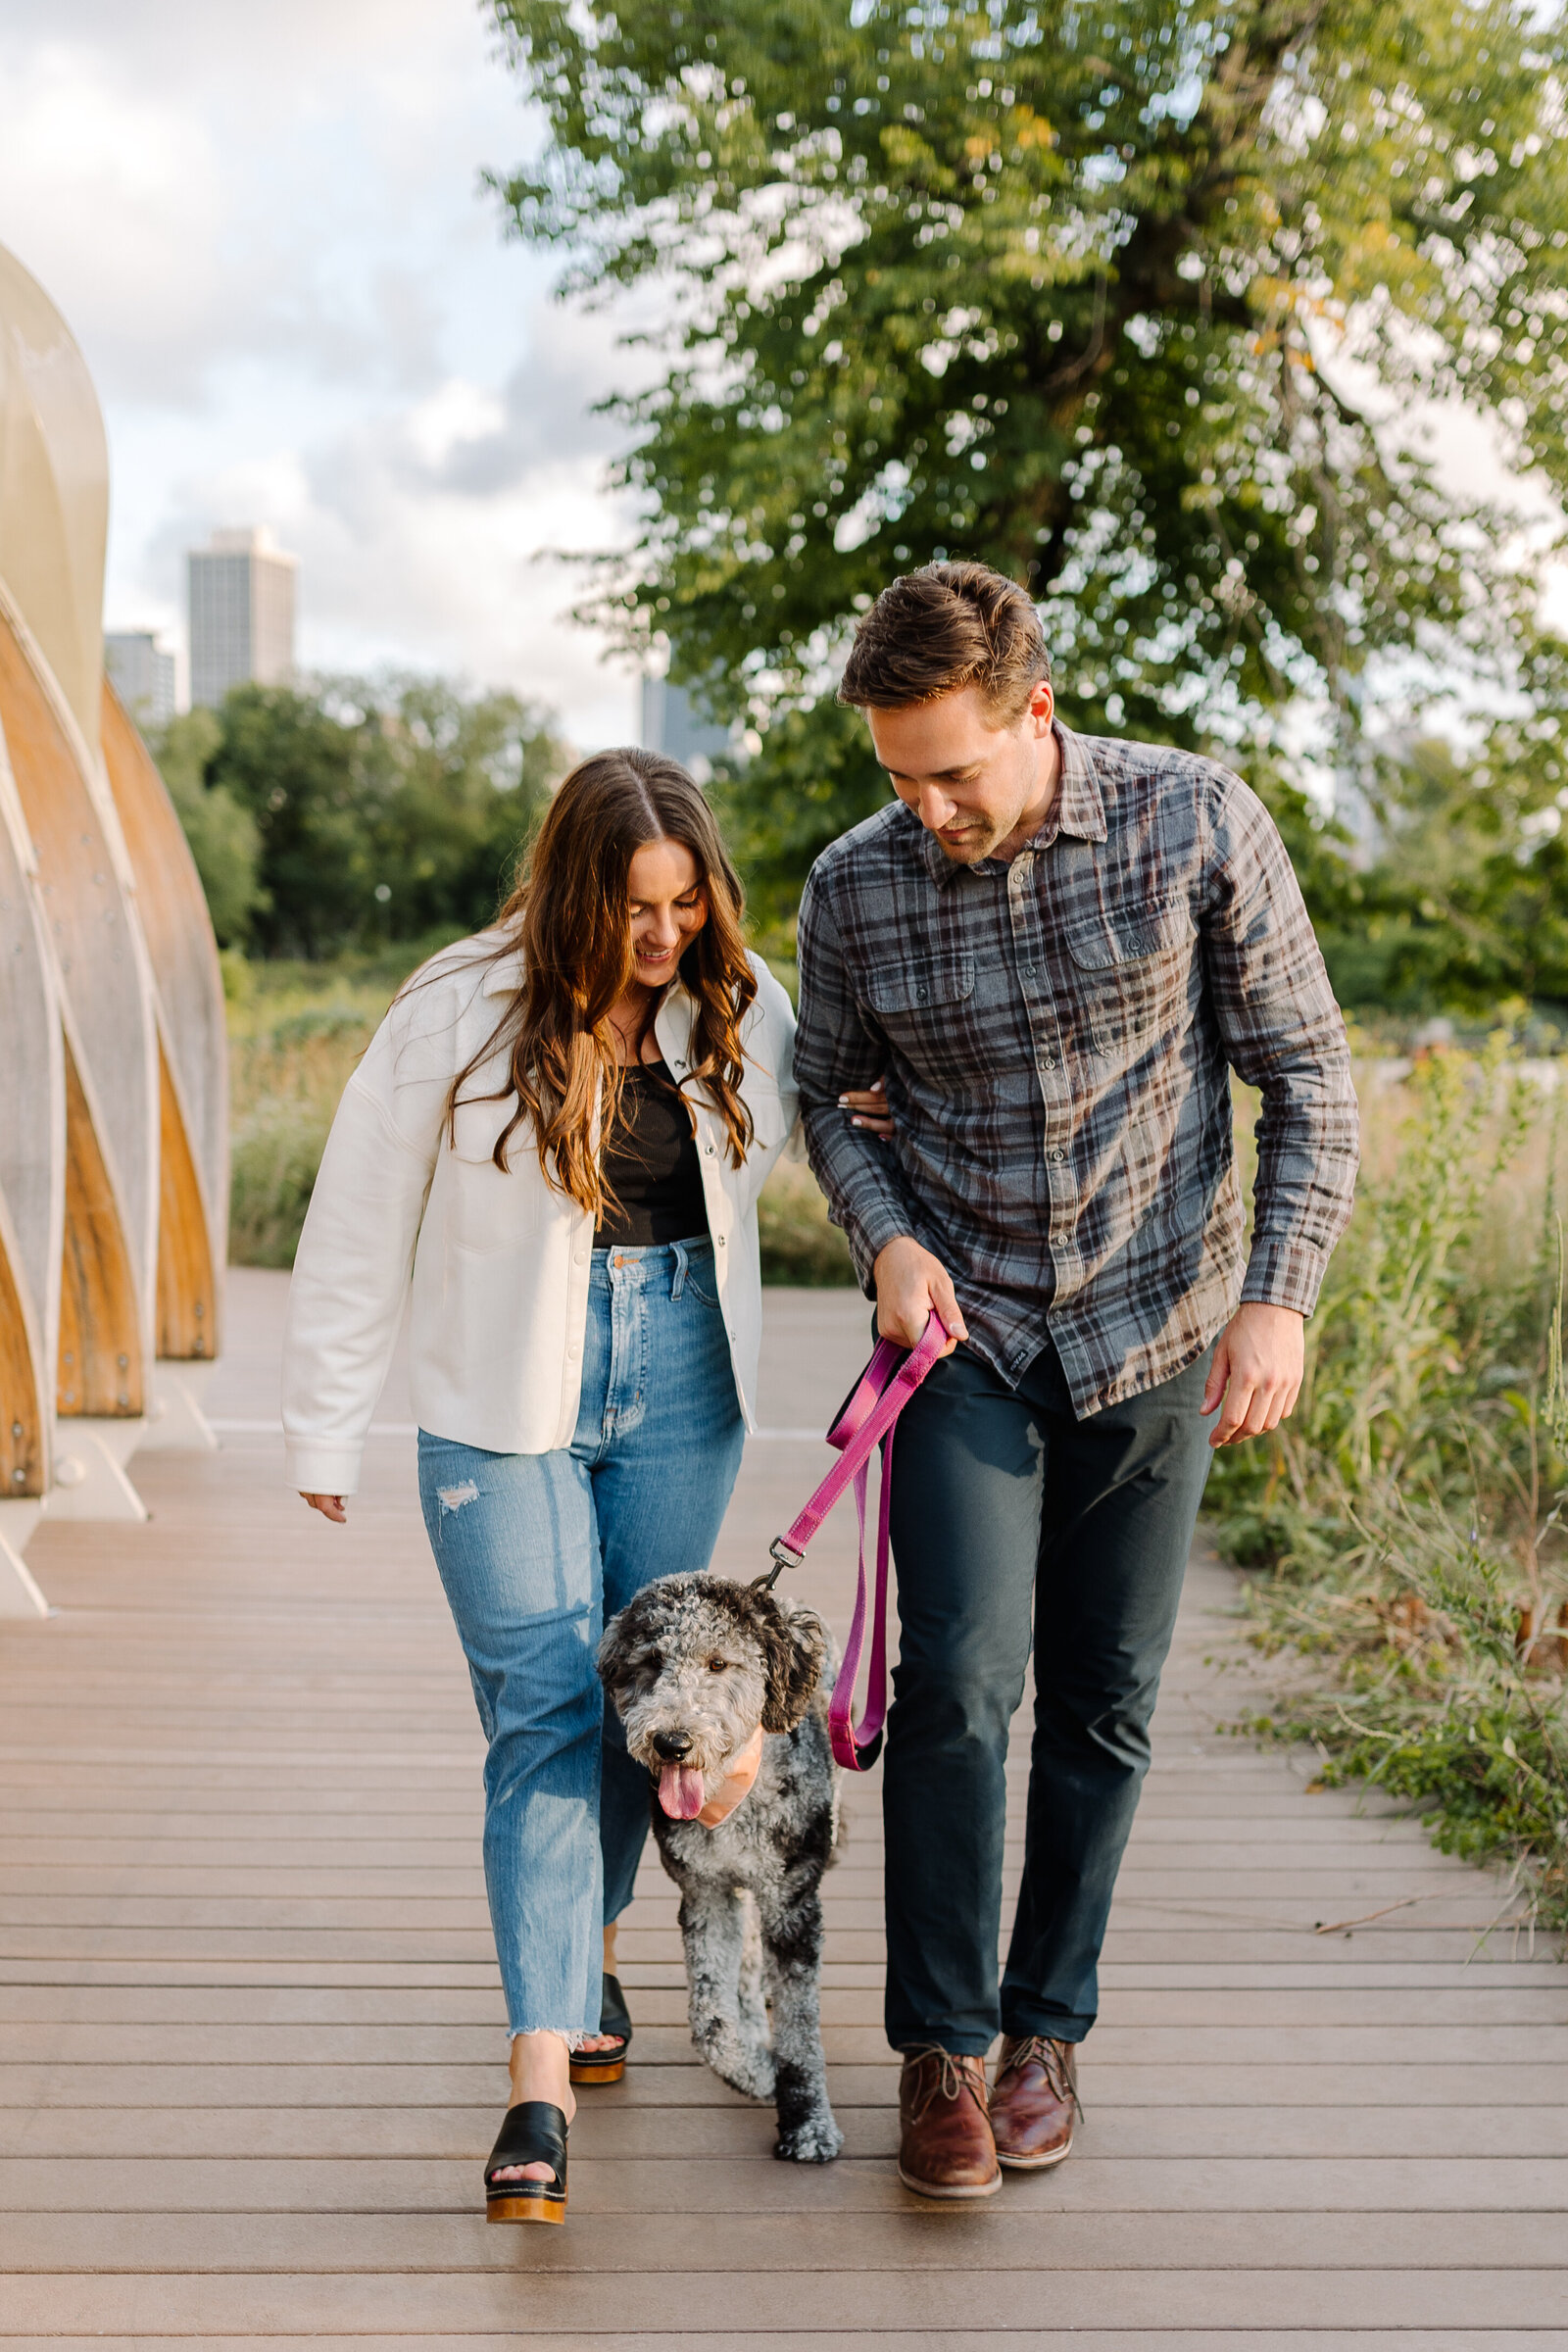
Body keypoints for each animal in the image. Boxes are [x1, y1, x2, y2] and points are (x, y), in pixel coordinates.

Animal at [597, 1571, 846, 2154]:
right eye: (651, 1661)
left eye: (718, 1663)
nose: (672, 1742)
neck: (736, 1792)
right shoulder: (705, 1893)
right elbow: (710, 2020)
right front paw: (757, 2072)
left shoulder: (793, 1902)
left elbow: (801, 2025)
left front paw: (808, 2124)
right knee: (748, 1958)